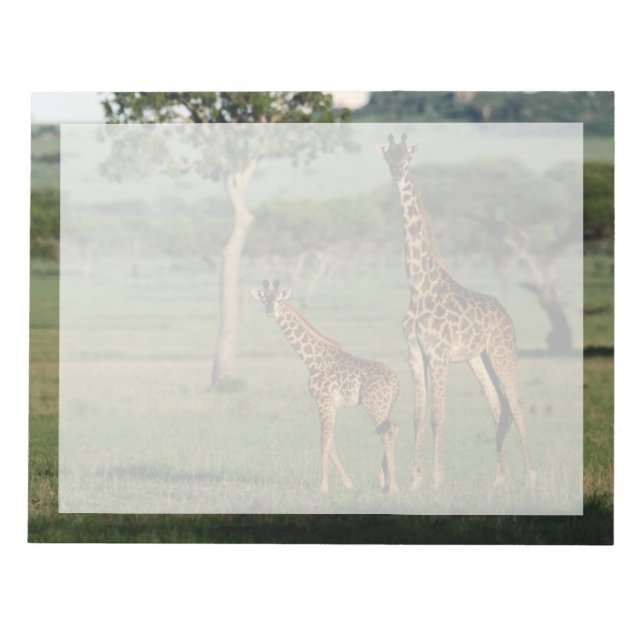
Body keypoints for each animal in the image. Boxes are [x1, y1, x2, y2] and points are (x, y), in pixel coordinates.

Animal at [252, 280, 400, 493]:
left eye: (279, 299)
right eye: (264, 299)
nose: (270, 310)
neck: (312, 360)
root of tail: (396, 381)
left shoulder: (323, 401)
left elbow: (324, 441)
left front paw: (323, 486)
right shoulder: (330, 404)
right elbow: (331, 441)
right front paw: (348, 483)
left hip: (375, 405)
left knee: (386, 433)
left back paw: (393, 486)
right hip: (387, 405)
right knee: (393, 428)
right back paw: (385, 481)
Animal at [380, 134, 537, 491]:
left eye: (407, 157)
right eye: (388, 156)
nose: (397, 171)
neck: (418, 288)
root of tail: (507, 316)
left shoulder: (438, 354)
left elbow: (438, 417)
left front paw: (436, 480)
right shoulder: (415, 354)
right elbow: (418, 416)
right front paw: (415, 480)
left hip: (502, 351)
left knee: (517, 401)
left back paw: (531, 477)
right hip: (478, 358)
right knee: (498, 405)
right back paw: (499, 479)